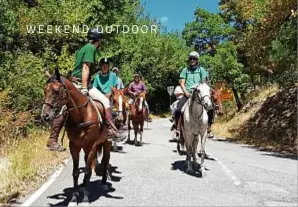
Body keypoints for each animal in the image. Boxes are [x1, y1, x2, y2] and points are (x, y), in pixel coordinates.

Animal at [41, 70, 111, 204]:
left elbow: (88, 171)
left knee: (106, 160)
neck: (81, 116)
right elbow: (75, 172)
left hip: (106, 143)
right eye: (45, 90)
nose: (45, 115)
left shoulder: (91, 146)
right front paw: (74, 197)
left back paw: (104, 183)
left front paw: (85, 198)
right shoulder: (74, 147)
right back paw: (83, 185)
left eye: (56, 91)